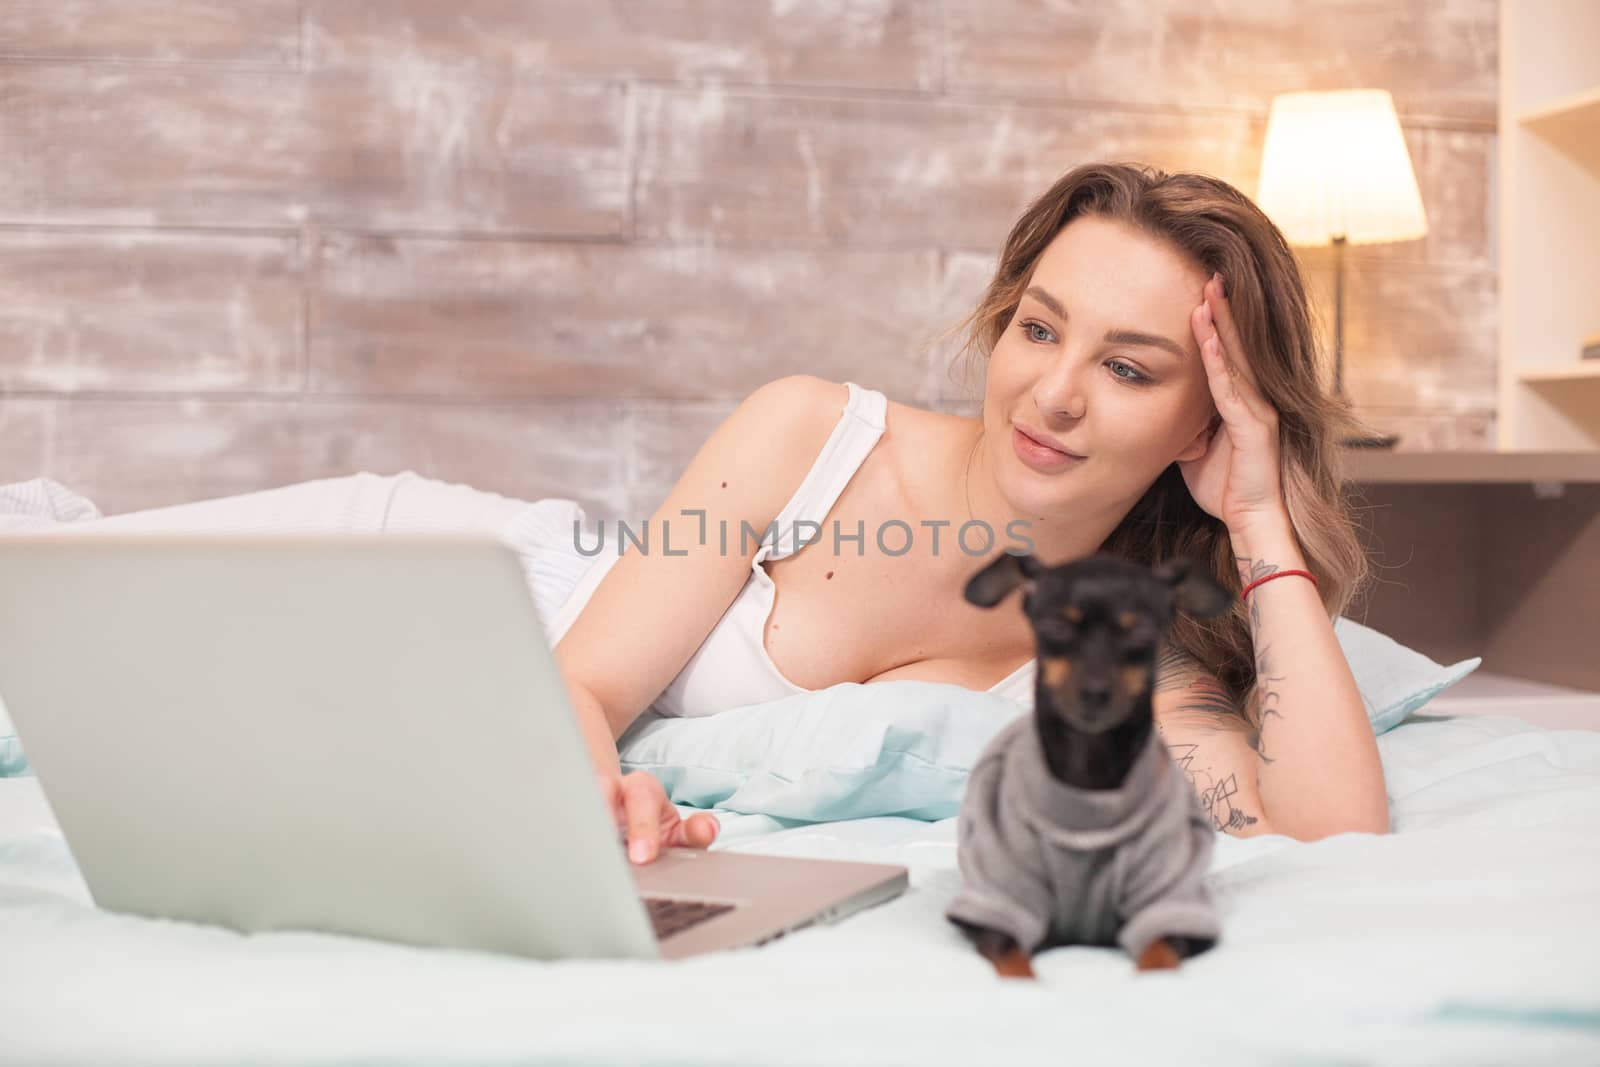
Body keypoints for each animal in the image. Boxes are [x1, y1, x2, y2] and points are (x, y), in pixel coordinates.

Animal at [940, 556, 1228, 979]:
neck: (1087, 775)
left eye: (1141, 632)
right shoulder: (1000, 900)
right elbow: (1013, 960)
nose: (1094, 691)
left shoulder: (1170, 899)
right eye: (1055, 628)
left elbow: (1159, 953)